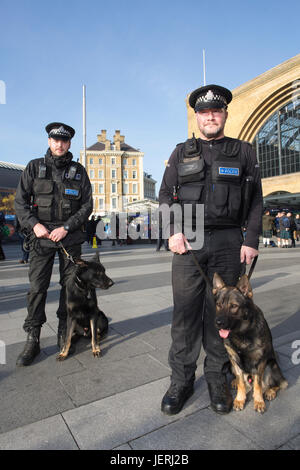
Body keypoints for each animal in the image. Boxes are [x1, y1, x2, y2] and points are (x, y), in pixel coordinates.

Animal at [212, 274, 288, 414]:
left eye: (233, 306)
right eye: (219, 305)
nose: (218, 322)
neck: (242, 333)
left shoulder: (260, 362)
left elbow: (258, 384)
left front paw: (258, 401)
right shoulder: (234, 359)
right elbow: (241, 382)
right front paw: (240, 399)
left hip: (271, 365)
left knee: (279, 383)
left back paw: (270, 391)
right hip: (232, 365)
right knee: (243, 381)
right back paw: (236, 382)